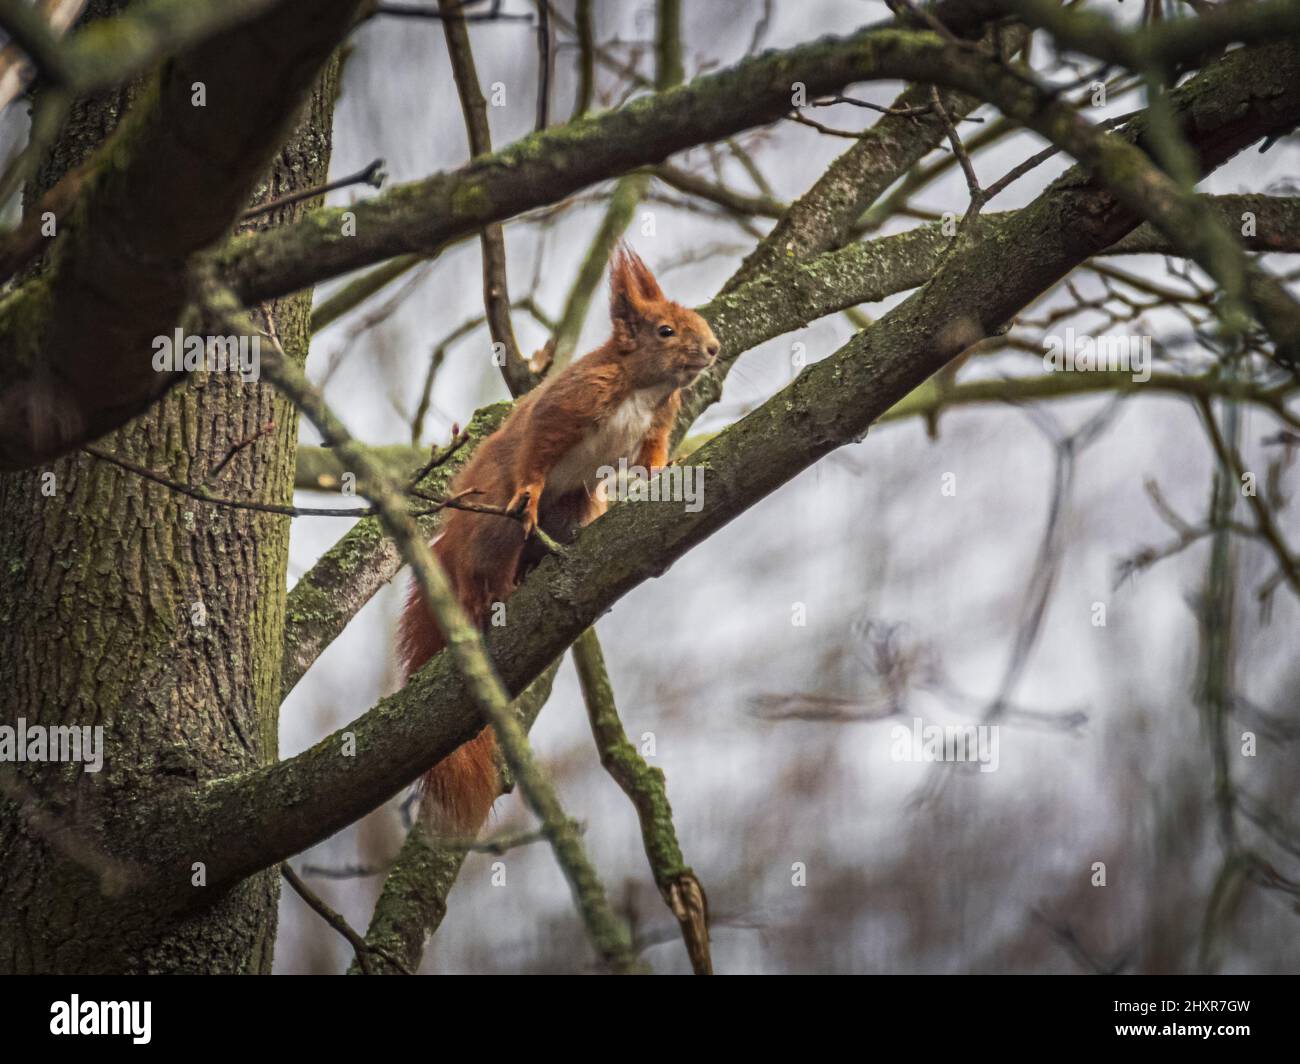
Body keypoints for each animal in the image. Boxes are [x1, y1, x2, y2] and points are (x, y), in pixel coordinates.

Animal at [398, 246, 720, 836]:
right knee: (483, 568)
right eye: (665, 330)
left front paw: (663, 475)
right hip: (491, 529)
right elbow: (538, 444)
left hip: (572, 509)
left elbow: (651, 456)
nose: (713, 349)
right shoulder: (571, 401)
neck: (643, 387)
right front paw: (529, 487)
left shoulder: (657, 426)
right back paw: (490, 595)